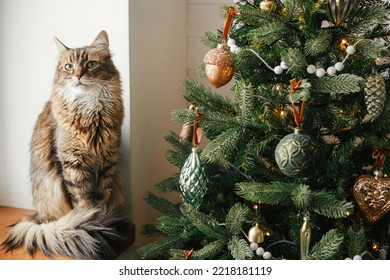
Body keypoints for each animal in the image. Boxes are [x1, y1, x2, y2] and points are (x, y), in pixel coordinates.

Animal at [1, 30, 125, 260]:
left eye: (91, 64)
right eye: (68, 66)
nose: (77, 75)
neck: (90, 110)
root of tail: (37, 217)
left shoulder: (107, 161)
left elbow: (102, 198)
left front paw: (103, 220)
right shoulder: (71, 164)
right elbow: (83, 202)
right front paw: (91, 222)